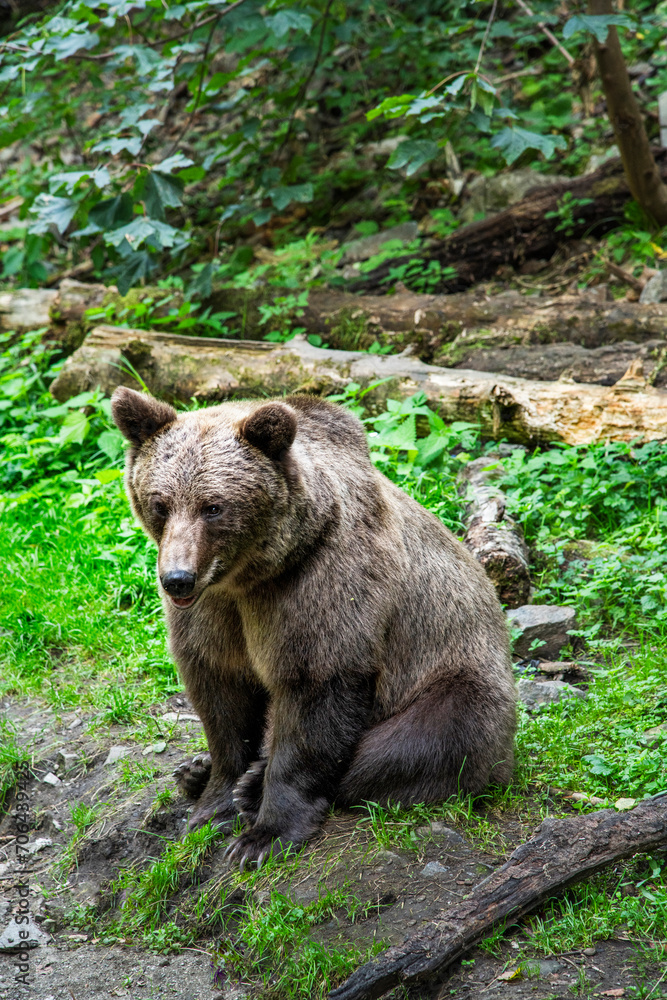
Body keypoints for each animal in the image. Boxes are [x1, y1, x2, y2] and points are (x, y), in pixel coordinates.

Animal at [111, 386, 516, 869]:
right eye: (160, 503)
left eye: (213, 506)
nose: (177, 578)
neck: (251, 576)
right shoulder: (214, 613)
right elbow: (221, 696)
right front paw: (213, 803)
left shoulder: (321, 586)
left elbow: (314, 690)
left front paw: (261, 836)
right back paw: (195, 772)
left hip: (456, 675)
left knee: (422, 743)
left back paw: (253, 786)